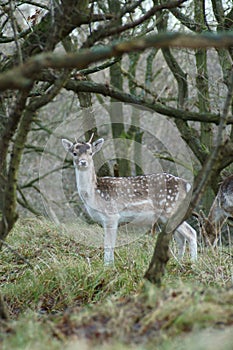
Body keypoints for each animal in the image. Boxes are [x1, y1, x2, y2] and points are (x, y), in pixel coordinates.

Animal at [62, 135, 197, 264]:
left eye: (90, 153)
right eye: (74, 153)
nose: (83, 162)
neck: (94, 194)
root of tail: (186, 185)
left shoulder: (111, 215)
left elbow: (109, 245)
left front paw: (108, 266)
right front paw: (109, 265)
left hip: (171, 209)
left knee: (191, 233)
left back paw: (193, 263)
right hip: (168, 216)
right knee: (180, 238)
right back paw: (178, 262)